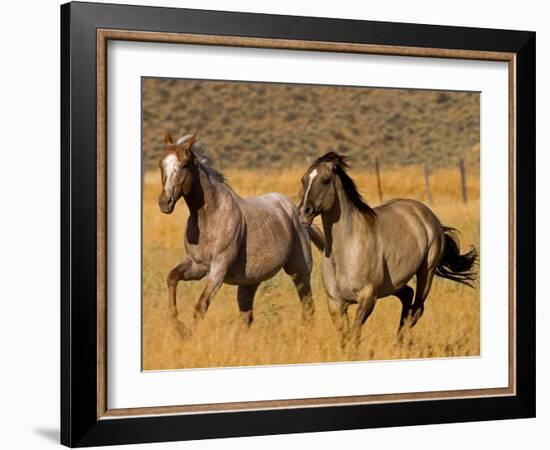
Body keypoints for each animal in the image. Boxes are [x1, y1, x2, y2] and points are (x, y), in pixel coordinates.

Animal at [157, 132, 326, 332]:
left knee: (308, 308)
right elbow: (172, 278)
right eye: (161, 165)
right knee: (247, 317)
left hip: (299, 271)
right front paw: (178, 326)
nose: (164, 202)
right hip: (250, 282)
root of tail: (297, 213)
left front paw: (187, 334)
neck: (210, 217)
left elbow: (200, 307)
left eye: (184, 164)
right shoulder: (196, 265)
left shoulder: (218, 268)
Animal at [298, 153, 478, 346]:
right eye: (303, 180)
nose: (304, 212)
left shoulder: (367, 297)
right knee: (408, 297)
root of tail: (428, 216)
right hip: (394, 284)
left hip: (426, 272)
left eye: (325, 180)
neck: (345, 252)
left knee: (416, 309)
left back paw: (400, 344)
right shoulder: (335, 304)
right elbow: (346, 340)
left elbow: (355, 335)